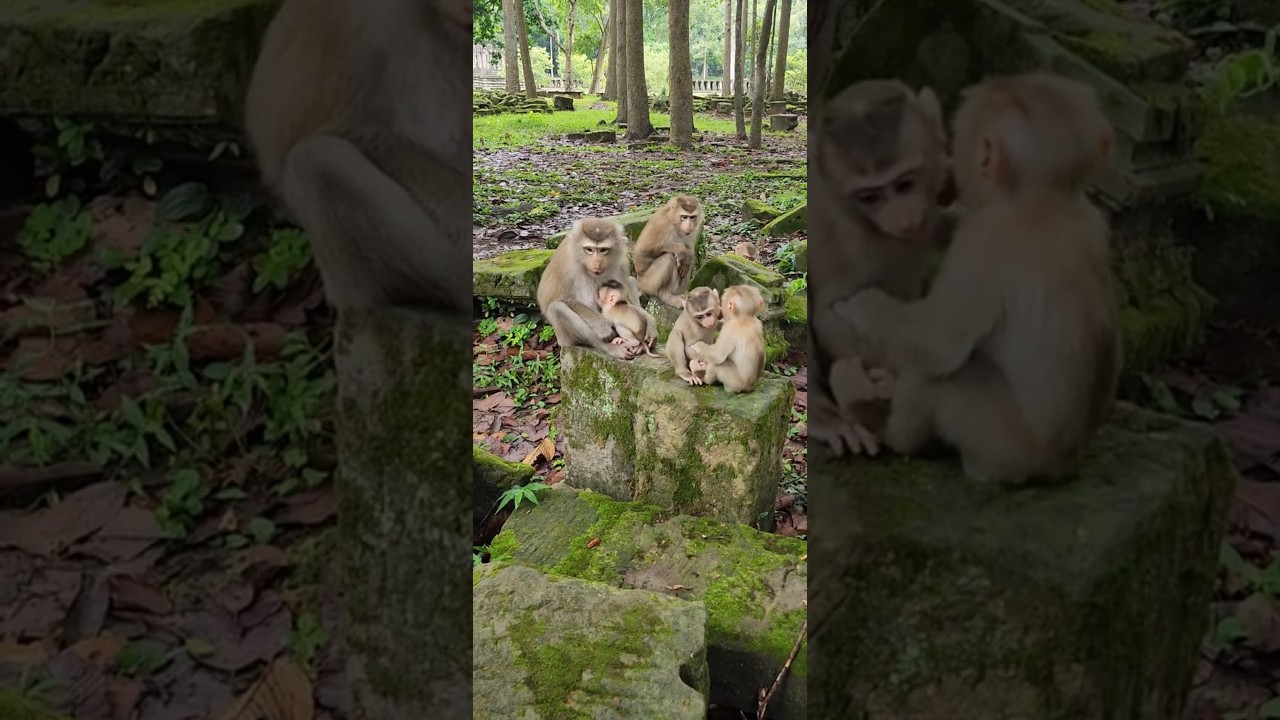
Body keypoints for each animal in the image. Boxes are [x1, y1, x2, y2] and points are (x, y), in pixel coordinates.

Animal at [537, 218, 656, 360]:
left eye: (603, 250)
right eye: (589, 249)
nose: (597, 264)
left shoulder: (621, 261)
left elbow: (625, 285)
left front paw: (650, 321)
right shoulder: (564, 263)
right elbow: (551, 300)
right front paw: (602, 326)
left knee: (631, 281)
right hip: (564, 339)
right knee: (556, 308)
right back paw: (610, 347)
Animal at [832, 71, 1122, 485]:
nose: (953, 164)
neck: (1047, 197)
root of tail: (1059, 466)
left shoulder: (983, 241)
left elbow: (939, 340)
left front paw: (867, 307)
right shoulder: (1094, 220)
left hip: (1001, 443)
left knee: (940, 376)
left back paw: (888, 429)